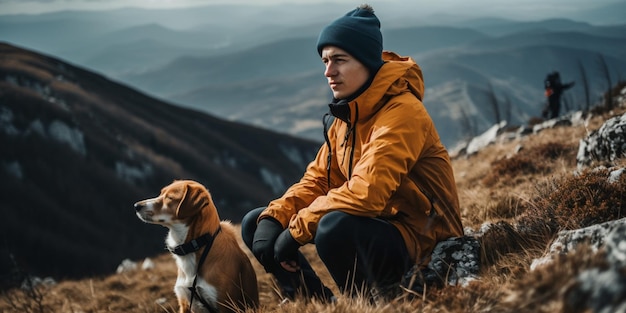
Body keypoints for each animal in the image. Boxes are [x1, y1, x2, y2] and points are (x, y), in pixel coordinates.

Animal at [133, 179, 258, 310]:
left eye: (170, 197)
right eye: (161, 193)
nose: (136, 206)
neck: (196, 246)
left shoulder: (225, 304)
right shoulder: (184, 302)